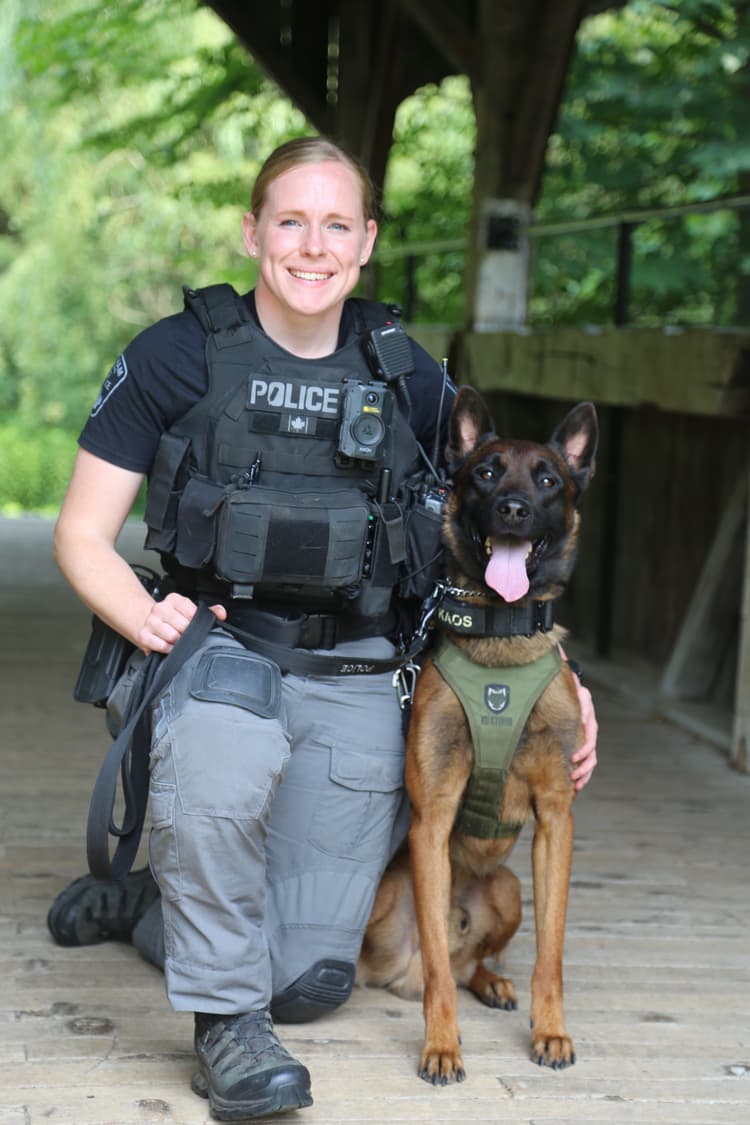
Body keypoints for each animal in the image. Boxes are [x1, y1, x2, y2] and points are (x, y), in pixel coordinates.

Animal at [357, 384, 598, 1080]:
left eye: (547, 479)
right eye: (486, 473)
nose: (513, 510)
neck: (501, 636)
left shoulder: (556, 820)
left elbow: (551, 954)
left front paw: (550, 1031)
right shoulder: (431, 821)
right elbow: (441, 968)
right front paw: (441, 1045)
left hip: (511, 889)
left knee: (472, 964)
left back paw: (493, 981)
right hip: (385, 894)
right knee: (439, 964)